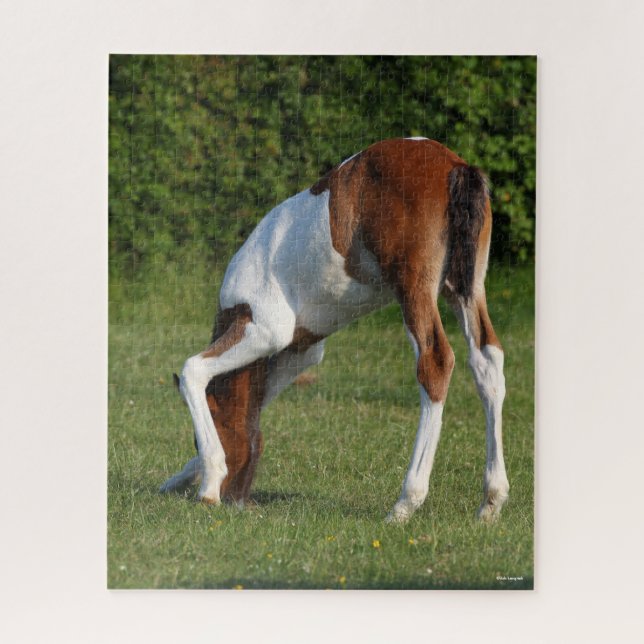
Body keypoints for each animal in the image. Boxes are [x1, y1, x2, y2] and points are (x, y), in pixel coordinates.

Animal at [159, 137, 509, 523]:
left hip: (414, 290)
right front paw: (180, 480)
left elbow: (194, 370)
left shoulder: (263, 331)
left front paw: (208, 485)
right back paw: (492, 500)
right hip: (464, 288)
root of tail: (454, 165)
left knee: (435, 362)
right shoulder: (300, 350)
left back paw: (406, 502)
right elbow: (258, 406)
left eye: (196, 437)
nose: (237, 500)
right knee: (487, 363)